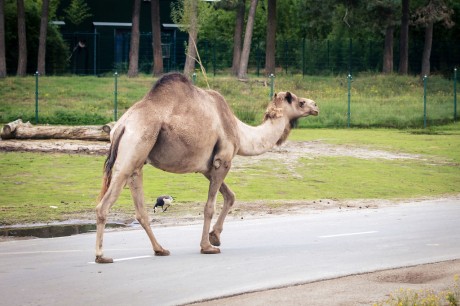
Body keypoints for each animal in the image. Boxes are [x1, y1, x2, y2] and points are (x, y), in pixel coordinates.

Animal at [95, 72, 318, 262]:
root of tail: (122, 125)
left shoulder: (207, 168)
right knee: (104, 204)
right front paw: (207, 246)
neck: (240, 132)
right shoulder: (223, 160)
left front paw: (215, 237)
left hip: (137, 160)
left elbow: (230, 196)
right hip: (136, 145)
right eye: (300, 101)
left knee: (140, 209)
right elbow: (209, 206)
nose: (316, 105)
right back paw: (101, 256)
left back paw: (160, 249)